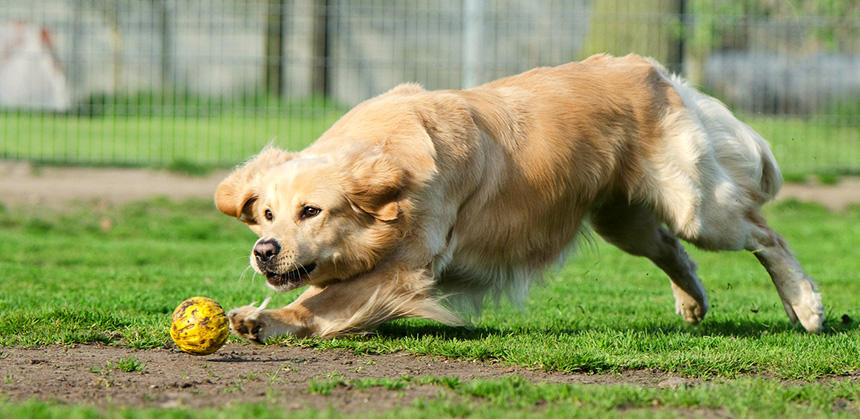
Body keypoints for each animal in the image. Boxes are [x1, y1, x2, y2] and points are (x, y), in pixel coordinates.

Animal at [217, 53, 828, 342]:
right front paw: (261, 319)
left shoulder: (403, 269)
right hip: (621, 219)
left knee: (765, 234)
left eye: (311, 211)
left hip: (695, 206)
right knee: (672, 250)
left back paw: (806, 306)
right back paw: (693, 302)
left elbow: (320, 301)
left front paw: (267, 319)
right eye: (266, 214)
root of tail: (652, 69)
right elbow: (318, 298)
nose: (264, 251)